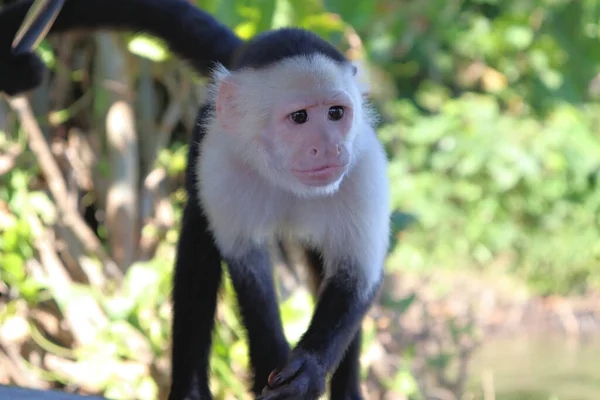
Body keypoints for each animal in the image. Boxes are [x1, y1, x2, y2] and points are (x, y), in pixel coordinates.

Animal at [0, 1, 392, 398]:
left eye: (335, 113)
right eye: (299, 117)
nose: (329, 148)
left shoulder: (363, 171)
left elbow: (355, 279)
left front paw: (308, 370)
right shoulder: (219, 163)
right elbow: (247, 269)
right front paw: (270, 360)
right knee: (198, 238)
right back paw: (189, 387)